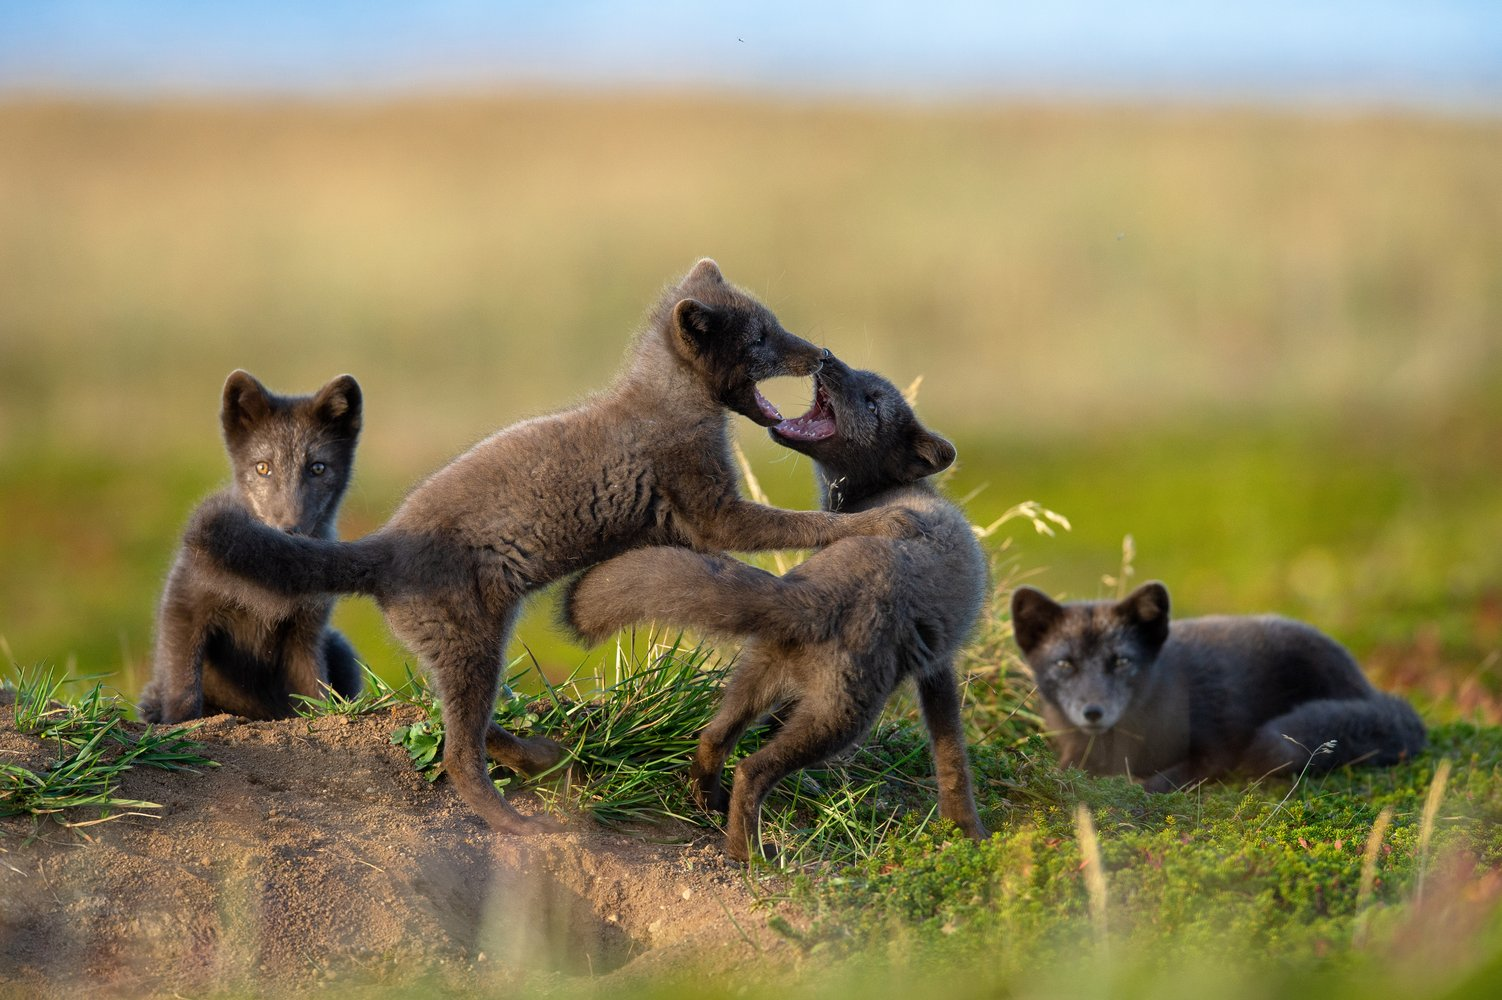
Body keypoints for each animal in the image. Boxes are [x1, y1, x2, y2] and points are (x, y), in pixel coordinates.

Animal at [138, 369, 366, 720]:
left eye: (317, 468)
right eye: (262, 468)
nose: (290, 531)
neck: (265, 591)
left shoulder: (307, 629)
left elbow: (313, 687)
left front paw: (326, 717)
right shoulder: (183, 605)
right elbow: (183, 683)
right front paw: (182, 723)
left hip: (340, 646)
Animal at [192, 261, 907, 828]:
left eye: (775, 324)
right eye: (760, 338)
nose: (819, 354)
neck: (669, 401)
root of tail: (386, 544)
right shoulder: (712, 511)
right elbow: (795, 523)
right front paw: (878, 525)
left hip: (463, 645)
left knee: (464, 723)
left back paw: (540, 756)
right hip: (472, 639)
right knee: (458, 751)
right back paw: (513, 822)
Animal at [564, 355, 985, 858]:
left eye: (872, 403)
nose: (828, 356)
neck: (875, 495)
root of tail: (812, 594)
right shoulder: (938, 662)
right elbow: (951, 749)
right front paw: (965, 828)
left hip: (759, 674)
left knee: (713, 739)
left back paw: (708, 804)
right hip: (844, 715)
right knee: (753, 769)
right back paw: (749, 855)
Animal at [1009, 585, 1417, 786]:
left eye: (1121, 661)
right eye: (1065, 663)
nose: (1093, 712)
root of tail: (1366, 685)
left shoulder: (1217, 751)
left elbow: (1153, 782)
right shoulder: (1072, 754)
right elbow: (1063, 773)